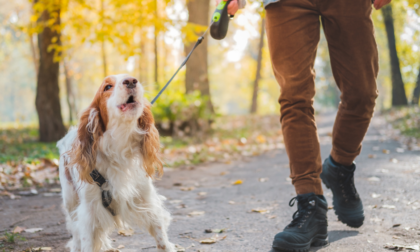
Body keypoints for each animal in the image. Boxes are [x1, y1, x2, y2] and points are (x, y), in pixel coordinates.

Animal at [56, 74, 175, 251]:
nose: (131, 81)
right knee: (75, 232)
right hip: (70, 201)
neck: (119, 146)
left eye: (132, 78)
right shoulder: (89, 211)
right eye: (107, 87)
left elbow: (161, 237)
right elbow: (86, 241)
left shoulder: (146, 199)